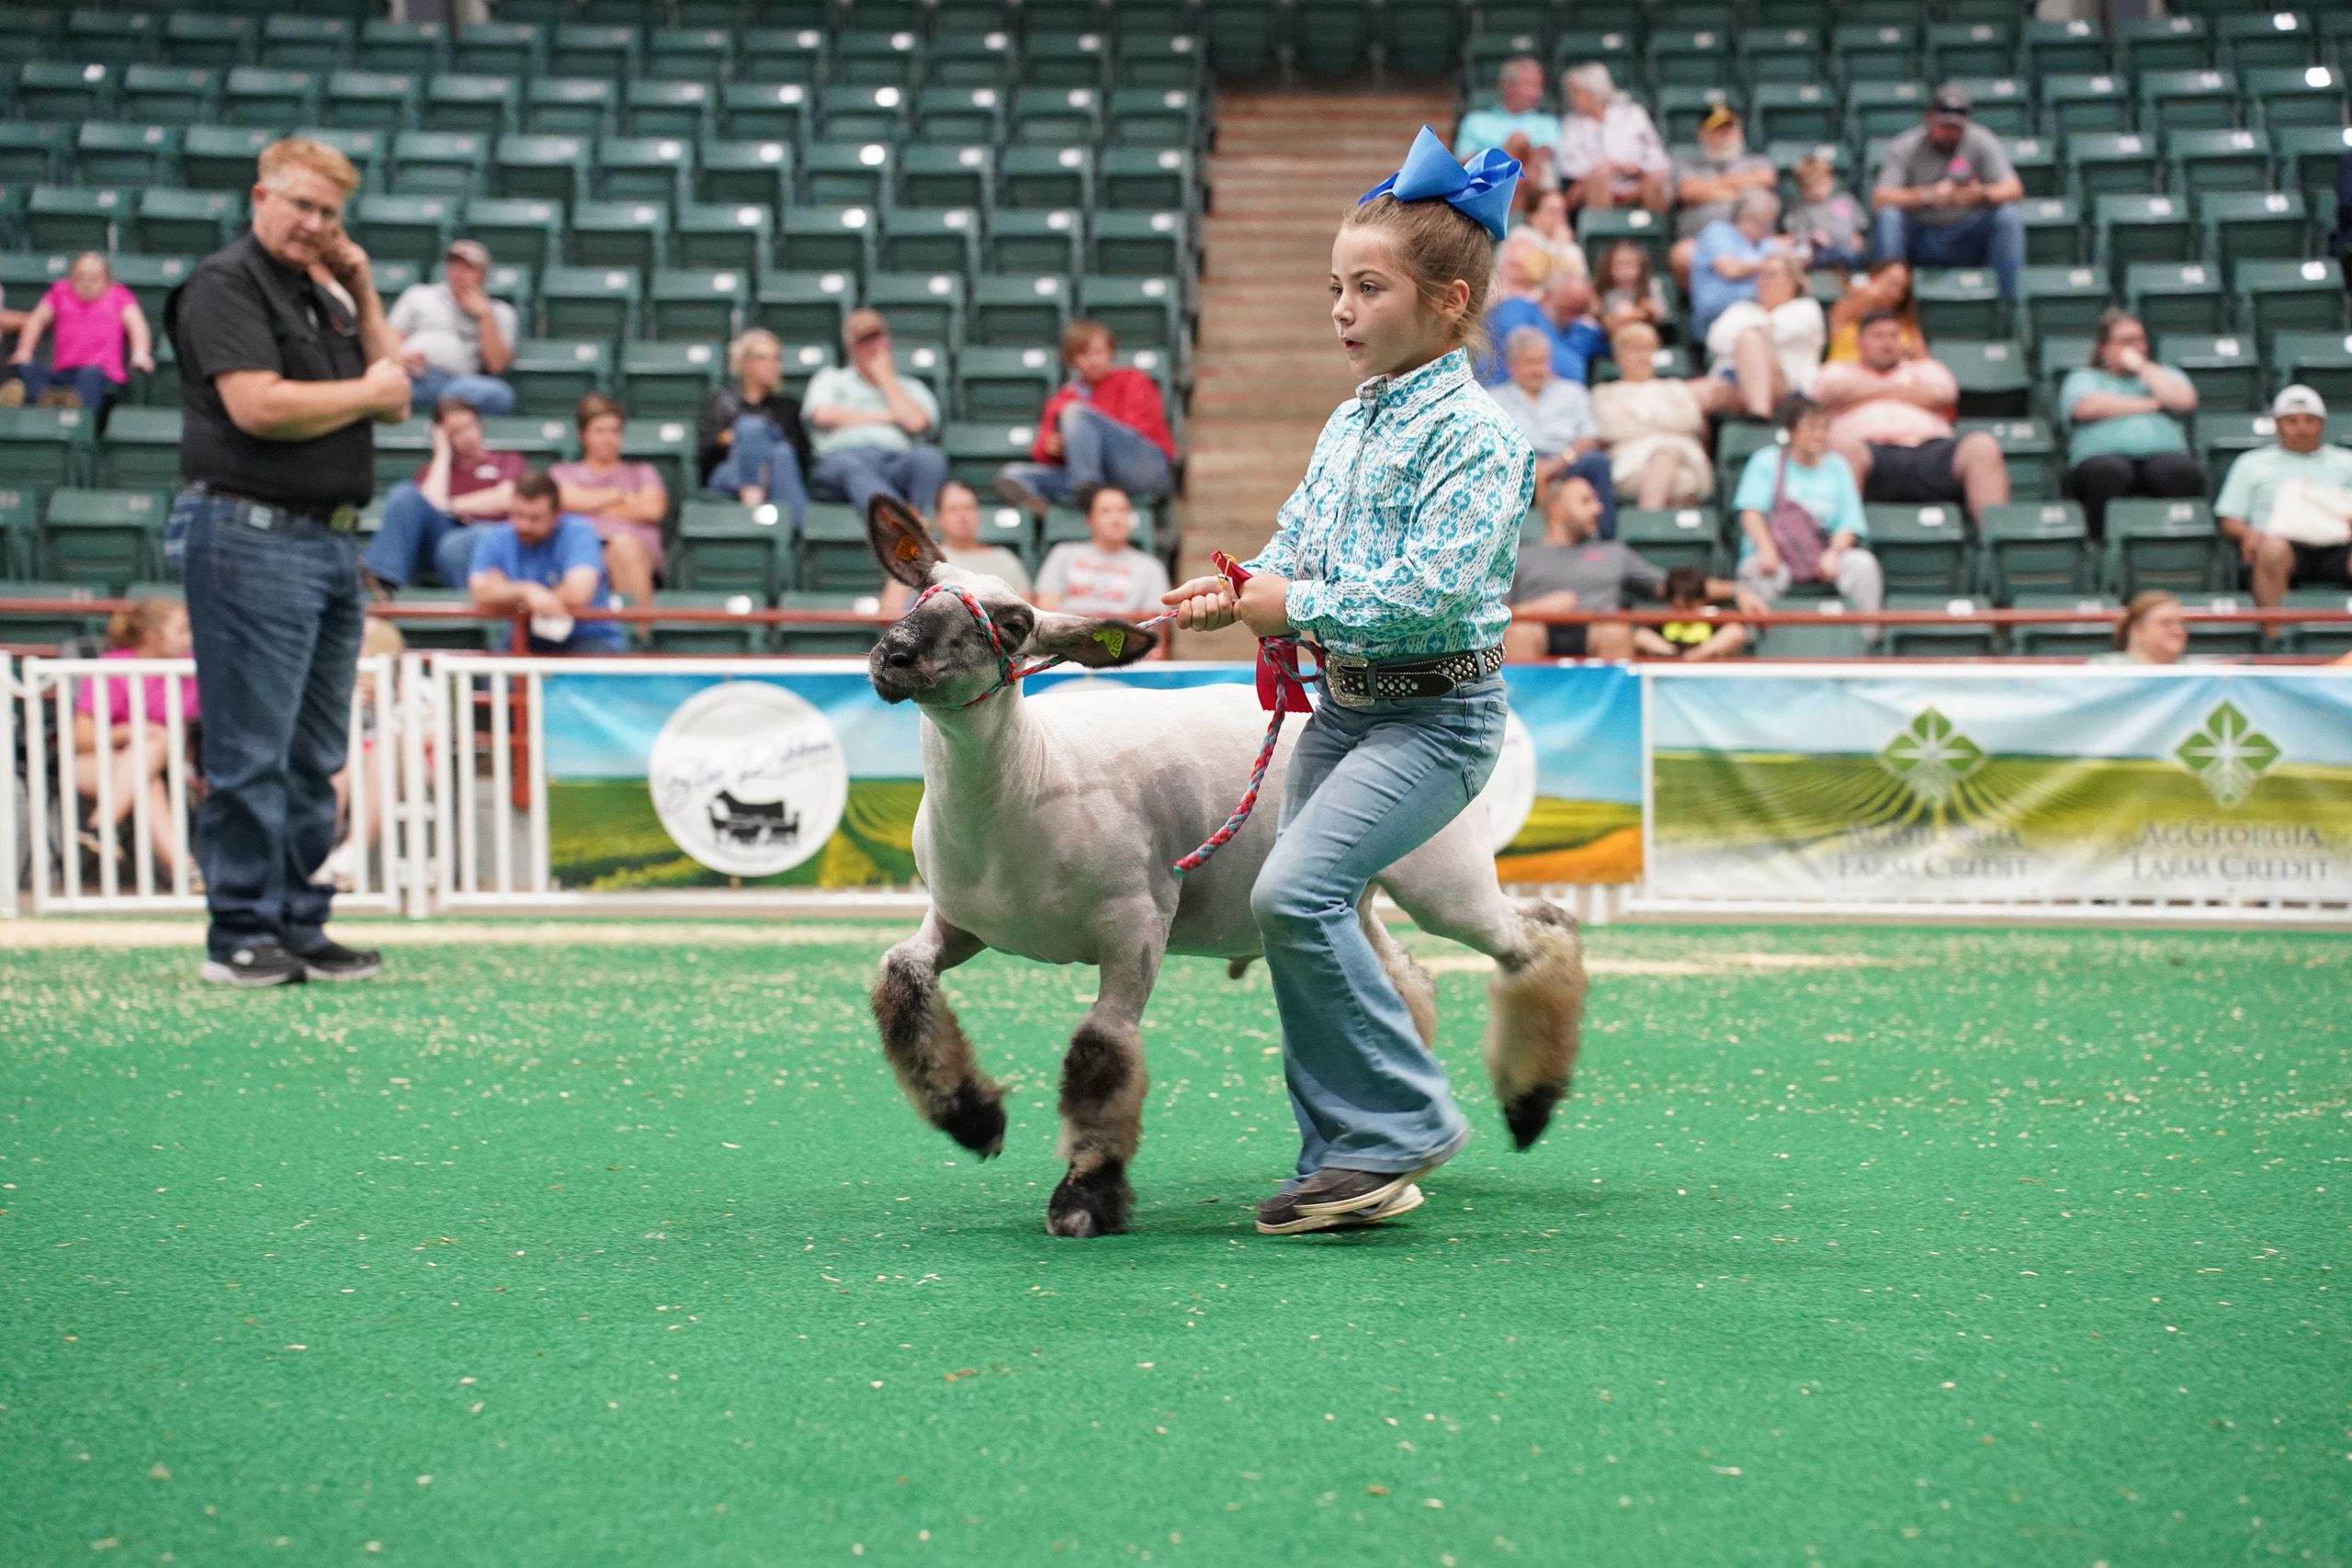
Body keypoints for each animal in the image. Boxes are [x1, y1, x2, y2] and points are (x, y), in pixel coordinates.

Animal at [861, 498, 1589, 1237]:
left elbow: (1102, 1050)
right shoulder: (959, 920)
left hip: (1442, 871)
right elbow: (901, 978)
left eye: (1012, 625)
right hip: (1346, 885)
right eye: (922, 589)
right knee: (1406, 977)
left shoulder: (1137, 923)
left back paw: (1528, 1105)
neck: (1028, 778)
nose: (894, 657)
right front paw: (973, 1119)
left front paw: (1085, 1194)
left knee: (1538, 933)